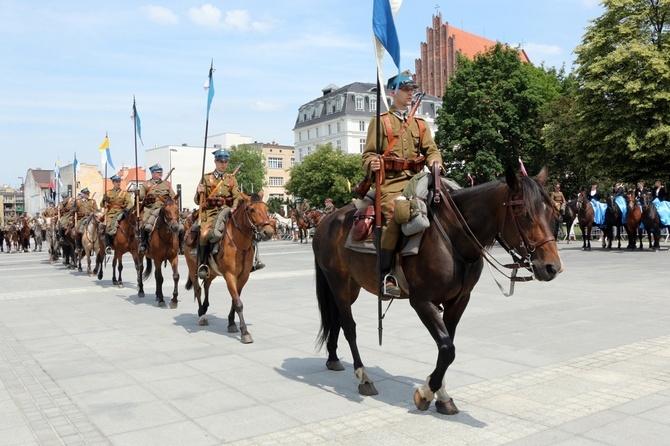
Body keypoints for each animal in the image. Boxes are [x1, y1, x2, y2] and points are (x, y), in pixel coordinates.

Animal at [185, 193, 274, 344]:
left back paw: (205, 307)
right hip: (193, 269)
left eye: (266, 208)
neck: (239, 245)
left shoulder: (243, 277)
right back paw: (202, 315)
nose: (268, 232)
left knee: (207, 285)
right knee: (198, 289)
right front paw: (245, 332)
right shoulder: (230, 276)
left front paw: (231, 323)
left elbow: (235, 299)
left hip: (212, 271)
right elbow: (238, 303)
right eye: (251, 210)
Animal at [312, 166, 564, 414]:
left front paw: (441, 395)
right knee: (349, 326)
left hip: (351, 286)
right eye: (525, 214)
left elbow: (447, 345)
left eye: (552, 214)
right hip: (338, 282)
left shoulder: (459, 301)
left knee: (336, 318)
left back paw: (333, 358)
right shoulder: (422, 302)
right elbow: (447, 348)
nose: (552, 267)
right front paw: (426, 392)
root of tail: (326, 220)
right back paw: (363, 377)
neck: (454, 237)